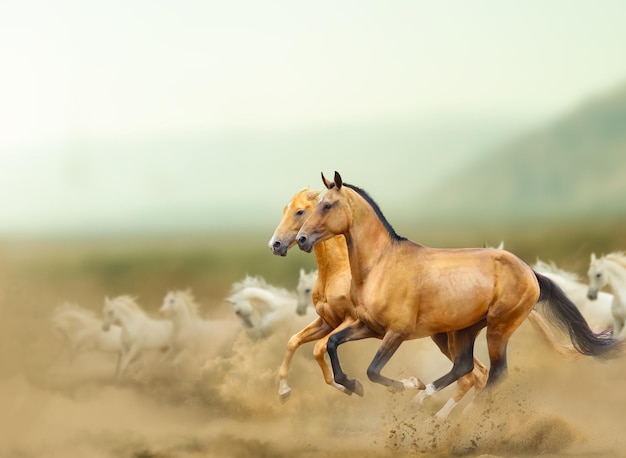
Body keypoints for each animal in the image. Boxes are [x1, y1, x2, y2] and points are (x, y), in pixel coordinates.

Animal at [294, 171, 616, 404]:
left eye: (327, 205)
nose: (301, 239)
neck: (380, 264)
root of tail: (530, 272)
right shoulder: (368, 326)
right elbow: (334, 344)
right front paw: (354, 385)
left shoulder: (396, 333)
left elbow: (373, 370)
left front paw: (409, 383)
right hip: (465, 330)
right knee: (465, 368)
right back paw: (427, 400)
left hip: (498, 329)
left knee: (495, 374)